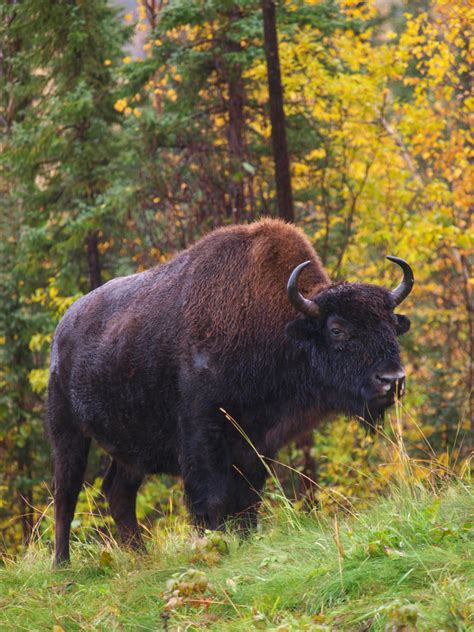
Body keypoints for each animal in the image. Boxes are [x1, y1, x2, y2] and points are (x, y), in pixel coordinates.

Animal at [45, 218, 414, 564]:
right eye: (337, 329)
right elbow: (212, 499)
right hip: (67, 431)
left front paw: (246, 541)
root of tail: (62, 331)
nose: (392, 379)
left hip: (131, 449)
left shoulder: (258, 444)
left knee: (118, 492)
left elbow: (248, 500)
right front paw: (214, 546)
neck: (274, 324)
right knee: (66, 494)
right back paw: (62, 566)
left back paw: (141, 557)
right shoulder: (202, 435)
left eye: (391, 325)